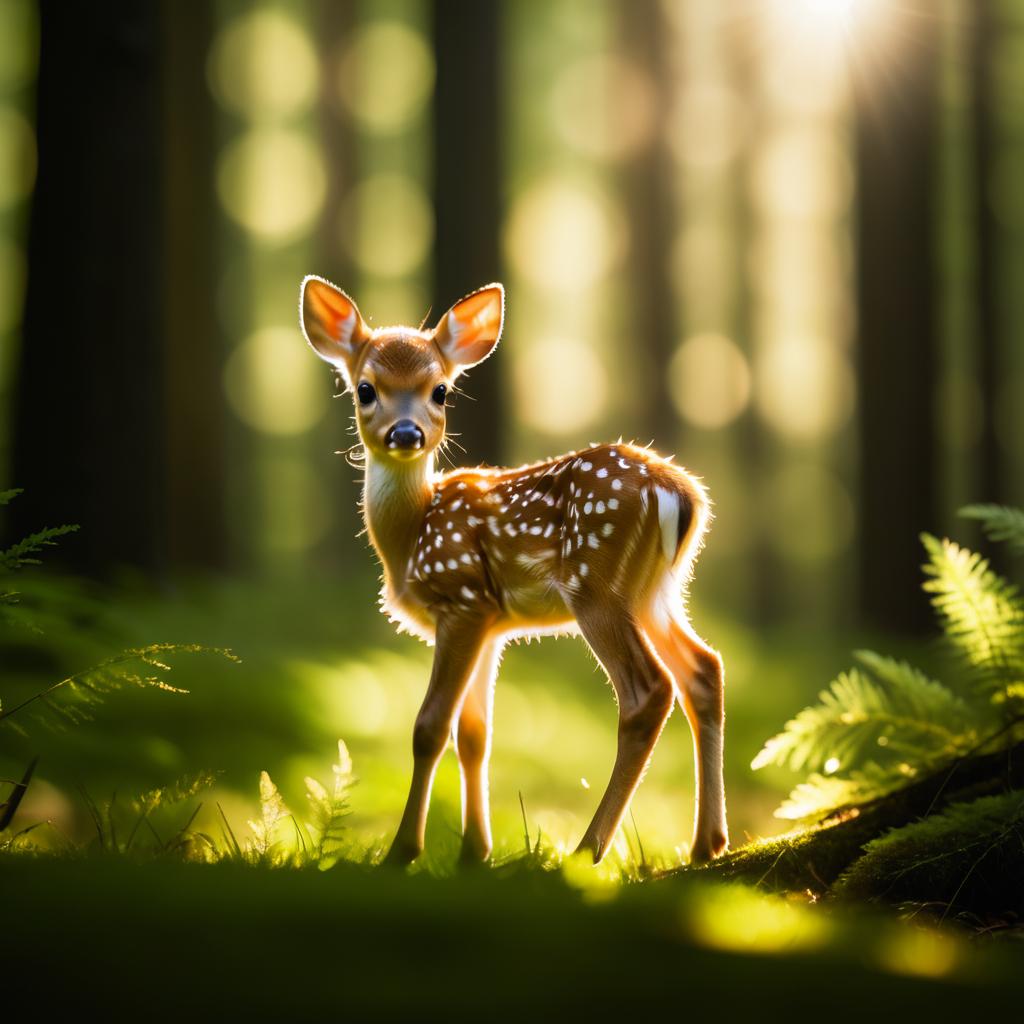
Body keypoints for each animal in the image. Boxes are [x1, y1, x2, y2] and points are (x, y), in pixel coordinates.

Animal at [299, 278, 729, 864]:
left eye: (440, 391)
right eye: (365, 389)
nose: (406, 433)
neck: (411, 535)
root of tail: (681, 494)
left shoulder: (461, 600)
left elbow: (430, 727)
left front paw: (402, 853)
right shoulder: (491, 625)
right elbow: (475, 734)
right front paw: (473, 854)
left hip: (596, 584)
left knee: (649, 692)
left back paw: (587, 850)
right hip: (656, 591)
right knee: (704, 669)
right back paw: (706, 844)